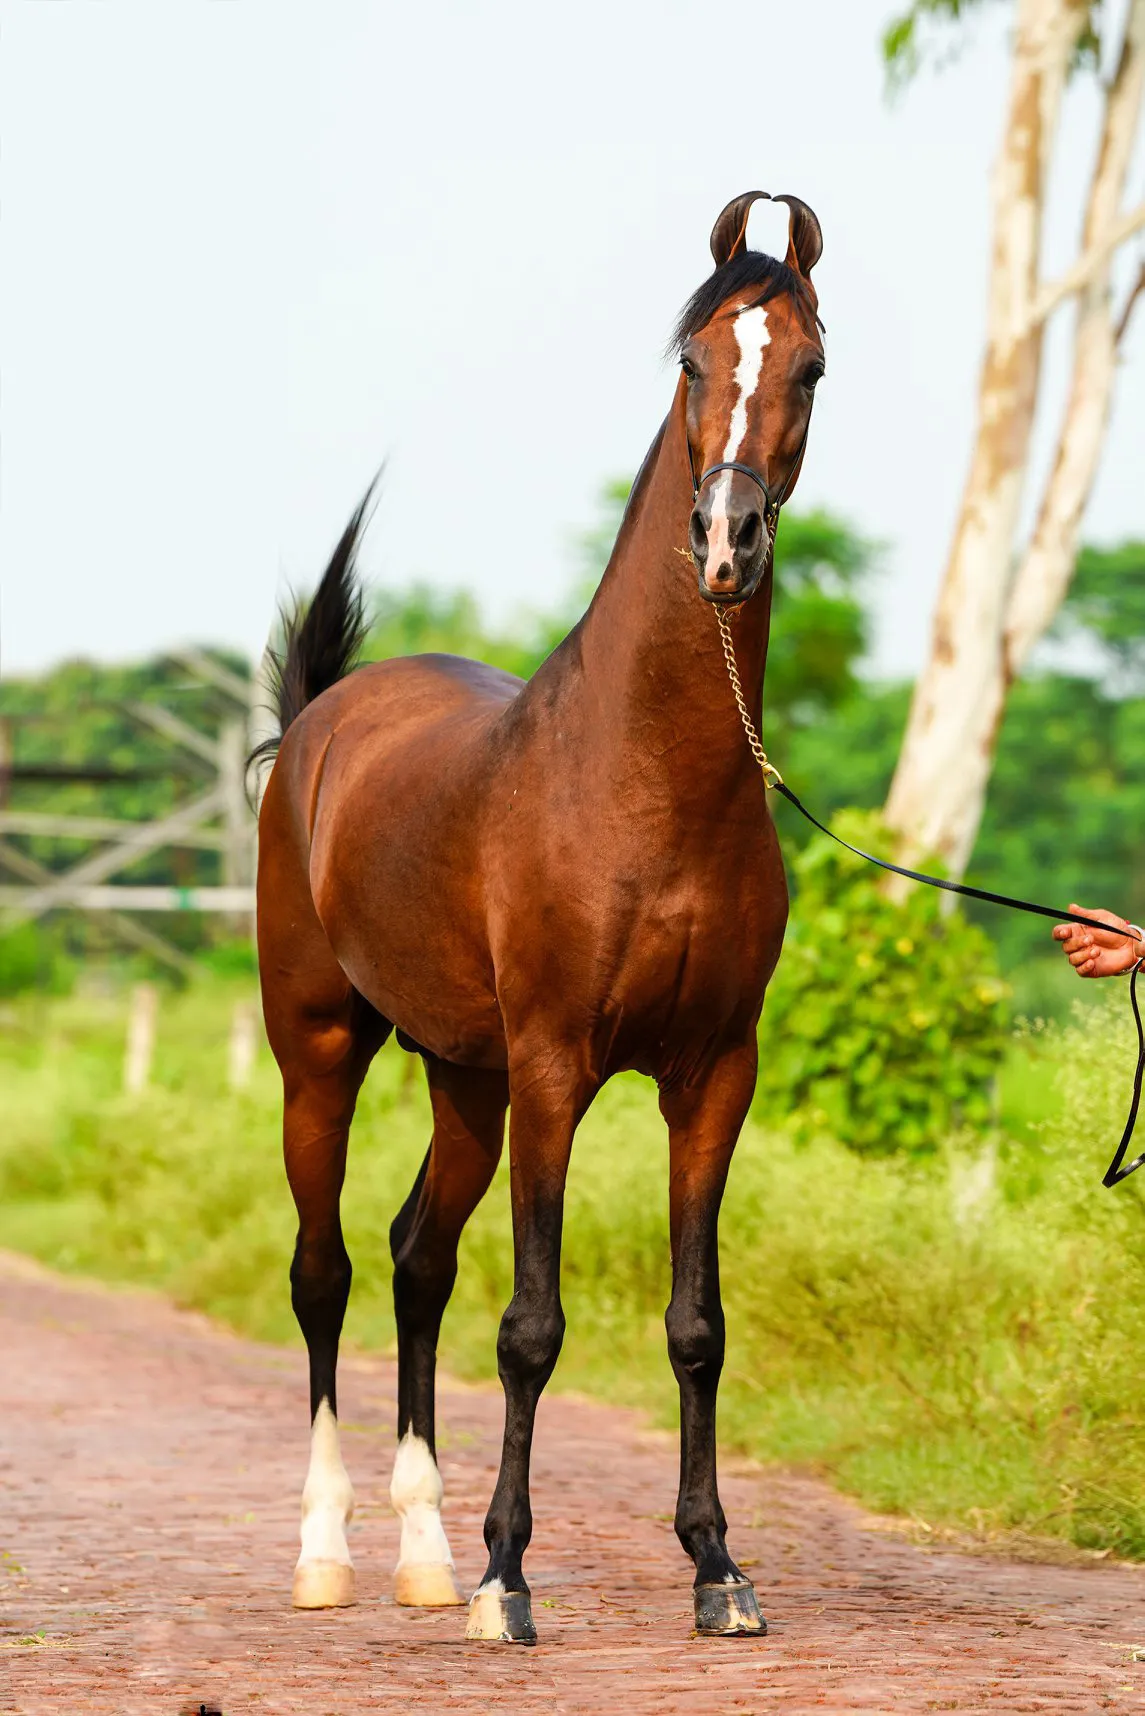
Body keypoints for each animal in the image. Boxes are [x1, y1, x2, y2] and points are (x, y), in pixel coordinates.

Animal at [255, 191, 823, 1647]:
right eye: (690, 360)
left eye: (806, 367)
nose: (726, 544)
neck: (642, 777)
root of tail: (323, 717)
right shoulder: (560, 1068)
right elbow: (531, 1325)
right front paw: (509, 1582)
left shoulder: (711, 1077)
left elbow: (695, 1326)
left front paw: (716, 1568)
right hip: (321, 1054)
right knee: (324, 1273)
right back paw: (328, 1555)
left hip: (466, 1076)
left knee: (415, 1261)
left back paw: (421, 1556)